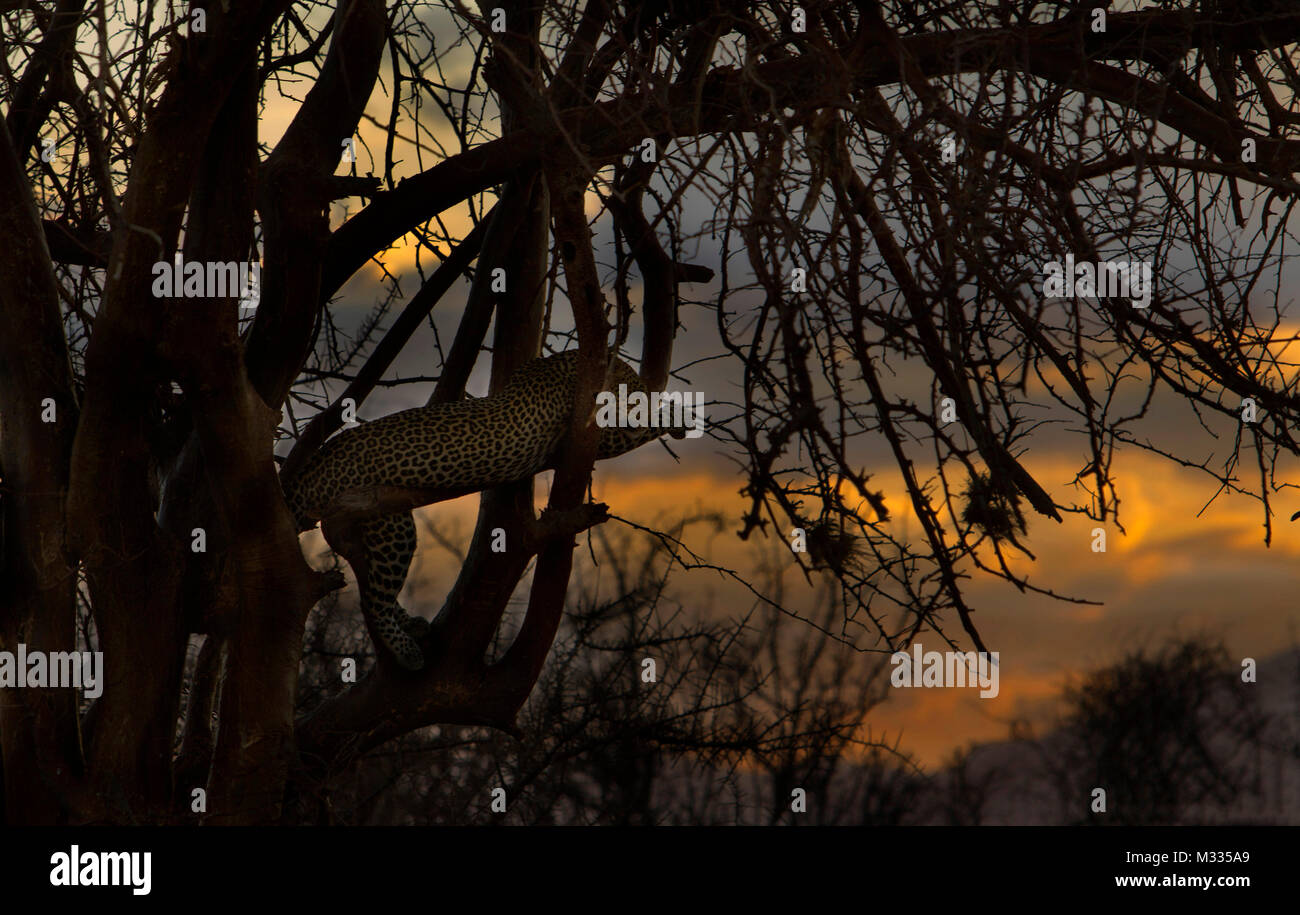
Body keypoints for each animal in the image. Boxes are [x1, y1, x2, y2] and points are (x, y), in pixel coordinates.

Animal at [281, 351, 684, 670]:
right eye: (633, 383)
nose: (645, 394)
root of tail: (314, 467)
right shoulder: (584, 432)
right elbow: (632, 432)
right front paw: (678, 418)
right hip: (390, 525)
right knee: (374, 598)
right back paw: (407, 651)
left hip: (365, 523)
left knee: (371, 584)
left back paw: (412, 624)